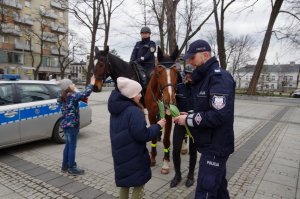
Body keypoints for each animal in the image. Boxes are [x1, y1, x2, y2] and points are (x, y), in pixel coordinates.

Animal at [145, 45, 179, 173]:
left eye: (176, 72)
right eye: (159, 73)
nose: (169, 101)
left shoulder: (169, 116)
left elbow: (166, 140)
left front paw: (165, 163)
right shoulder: (151, 114)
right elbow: (153, 136)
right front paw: (152, 158)